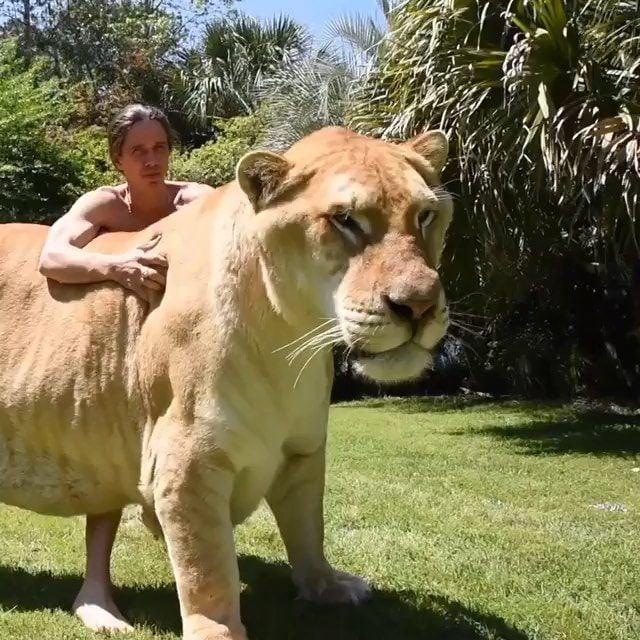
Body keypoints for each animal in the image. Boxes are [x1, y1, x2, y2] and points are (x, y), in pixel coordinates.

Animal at [0, 126, 452, 640]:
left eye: (425, 215)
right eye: (345, 219)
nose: (419, 306)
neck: (291, 344)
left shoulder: (303, 448)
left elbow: (307, 526)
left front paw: (326, 586)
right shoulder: (186, 462)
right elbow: (209, 570)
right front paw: (218, 631)